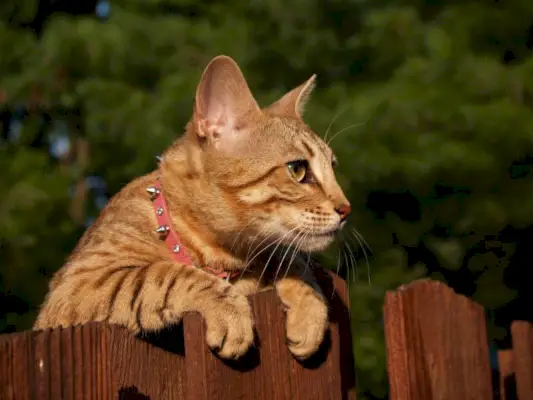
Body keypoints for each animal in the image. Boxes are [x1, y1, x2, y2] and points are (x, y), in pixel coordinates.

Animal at [33, 54, 350, 360]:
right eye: (298, 169)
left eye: (333, 167)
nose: (346, 209)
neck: (225, 258)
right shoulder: (75, 287)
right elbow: (162, 275)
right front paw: (230, 311)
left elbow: (292, 258)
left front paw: (309, 306)